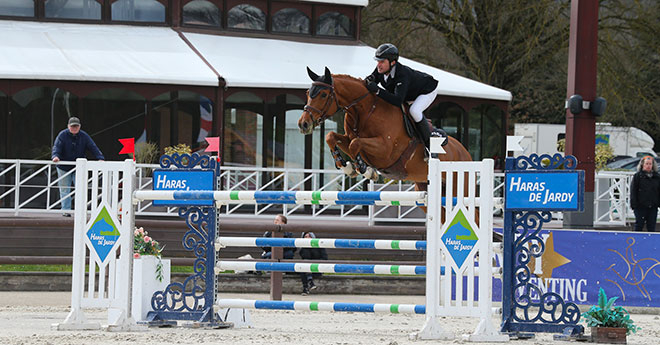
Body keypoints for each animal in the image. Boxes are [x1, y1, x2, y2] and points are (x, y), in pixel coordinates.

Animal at [296, 67, 472, 194]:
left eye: (323, 94)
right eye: (308, 93)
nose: (303, 124)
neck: (364, 111)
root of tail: (465, 153)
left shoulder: (385, 150)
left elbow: (355, 143)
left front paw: (364, 169)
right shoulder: (349, 137)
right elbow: (332, 136)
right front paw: (346, 166)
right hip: (424, 186)